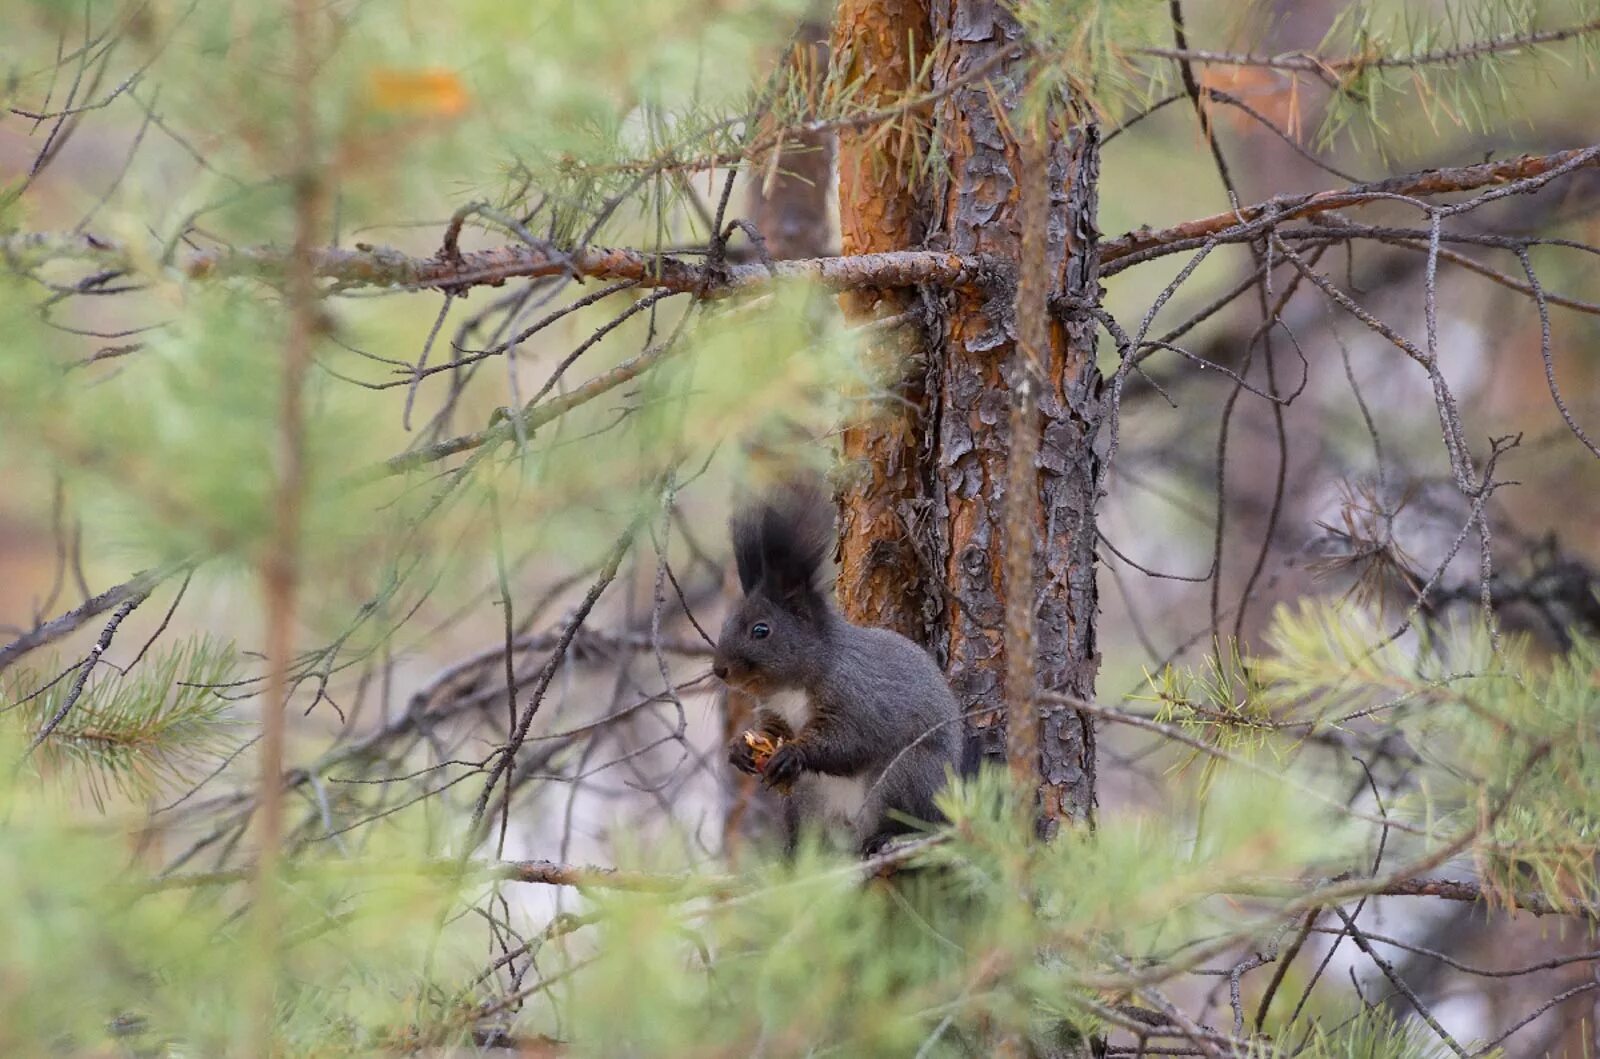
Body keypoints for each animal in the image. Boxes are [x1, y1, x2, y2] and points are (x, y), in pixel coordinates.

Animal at [716, 486, 960, 857]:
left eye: (761, 630)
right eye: (726, 623)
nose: (720, 670)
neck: (791, 687)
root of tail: (851, 836)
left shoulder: (857, 694)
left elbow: (850, 740)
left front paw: (795, 752)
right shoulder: (775, 710)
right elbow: (770, 730)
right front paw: (739, 750)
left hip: (907, 774)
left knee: (913, 820)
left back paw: (885, 837)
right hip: (804, 800)